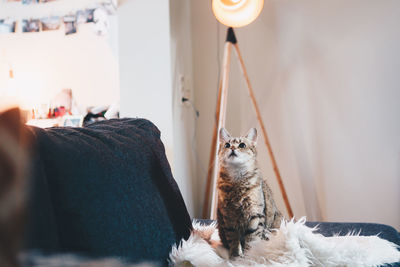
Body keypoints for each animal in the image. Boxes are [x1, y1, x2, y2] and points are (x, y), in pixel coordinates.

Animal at [216, 129, 284, 258]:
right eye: (227, 145)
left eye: (242, 145)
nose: (232, 148)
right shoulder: (228, 218)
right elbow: (233, 240)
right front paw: (235, 256)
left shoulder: (255, 215)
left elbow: (252, 239)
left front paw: (249, 257)